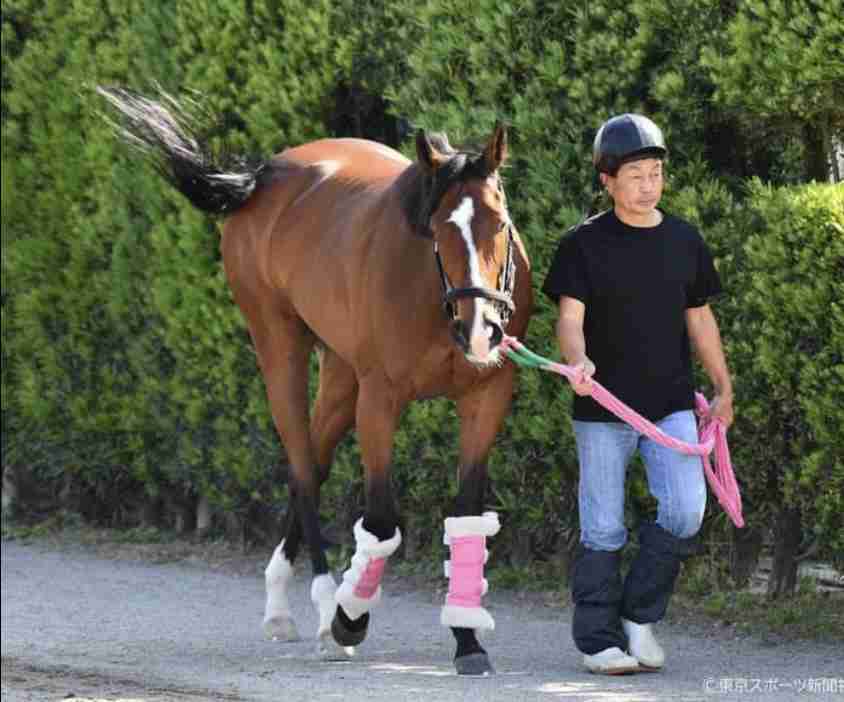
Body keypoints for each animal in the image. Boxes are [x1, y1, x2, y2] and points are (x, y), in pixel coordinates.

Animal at [98, 87, 533, 676]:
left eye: (500, 223)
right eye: (440, 228)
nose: (481, 329)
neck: (431, 296)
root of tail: (265, 174)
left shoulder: (486, 398)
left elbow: (465, 515)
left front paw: (467, 639)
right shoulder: (380, 400)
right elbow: (380, 520)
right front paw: (351, 616)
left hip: (341, 374)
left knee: (316, 462)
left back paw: (288, 601)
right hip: (279, 345)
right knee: (303, 468)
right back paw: (319, 605)